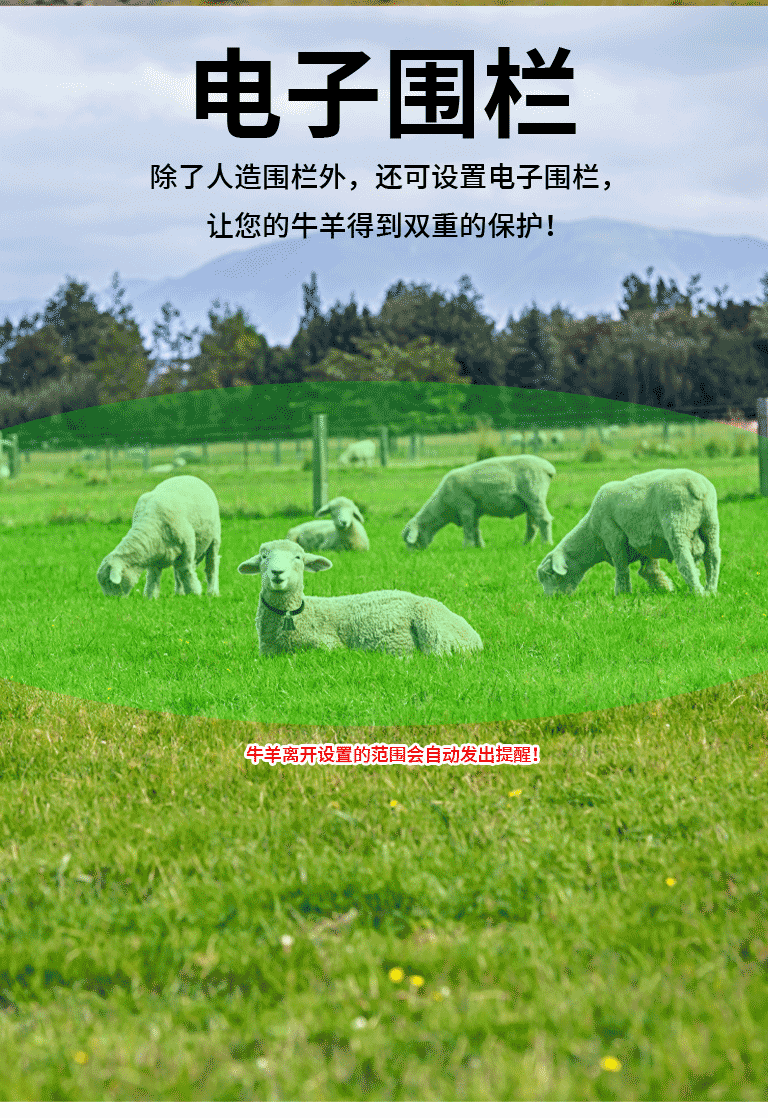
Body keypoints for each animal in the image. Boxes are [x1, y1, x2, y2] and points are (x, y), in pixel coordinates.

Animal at [238, 539, 483, 657]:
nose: (277, 573)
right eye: (263, 556)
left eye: (298, 557)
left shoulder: (328, 645)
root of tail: (475, 638)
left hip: (433, 628)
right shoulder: (266, 653)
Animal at [402, 454, 556, 550]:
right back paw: (526, 544)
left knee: (544, 520)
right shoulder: (474, 511)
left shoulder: (465, 507)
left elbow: (468, 529)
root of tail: (549, 468)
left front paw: (467, 546)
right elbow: (476, 529)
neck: (443, 506)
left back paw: (546, 544)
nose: (412, 554)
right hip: (529, 502)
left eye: (411, 541)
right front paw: (479, 546)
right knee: (533, 525)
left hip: (534, 493)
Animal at [537, 468, 720, 598]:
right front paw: (664, 588)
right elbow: (649, 571)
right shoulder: (647, 542)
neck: (592, 536)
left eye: (550, 575)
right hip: (710, 523)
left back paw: (697, 592)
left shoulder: (613, 536)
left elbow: (621, 568)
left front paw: (622, 593)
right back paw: (710, 590)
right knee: (712, 557)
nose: (551, 599)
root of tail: (697, 485)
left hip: (678, 522)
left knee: (685, 559)